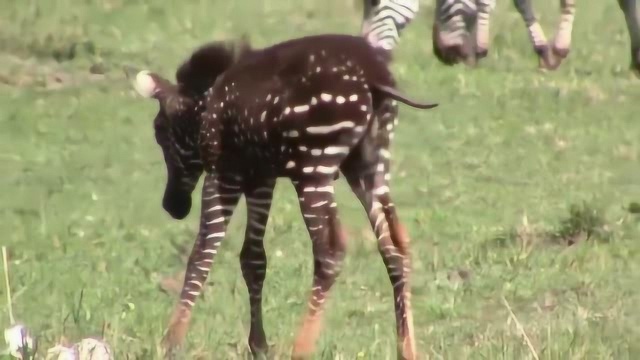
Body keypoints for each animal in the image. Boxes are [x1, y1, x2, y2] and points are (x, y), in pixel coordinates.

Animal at [129, 34, 440, 360]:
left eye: (159, 131)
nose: (173, 206)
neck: (207, 108)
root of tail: (374, 76)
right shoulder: (260, 178)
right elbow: (253, 260)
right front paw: (258, 345)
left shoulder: (223, 173)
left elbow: (202, 254)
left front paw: (171, 341)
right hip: (369, 167)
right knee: (395, 245)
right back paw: (407, 348)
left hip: (314, 168)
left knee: (331, 251)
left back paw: (301, 349)